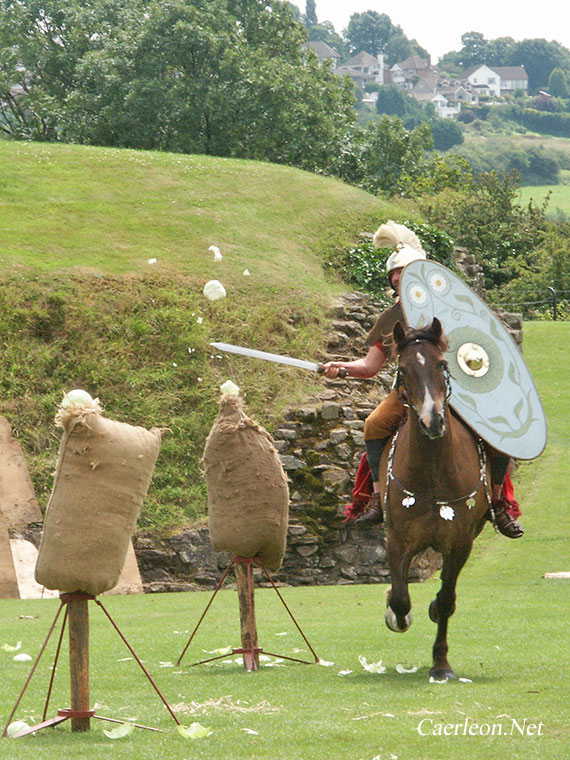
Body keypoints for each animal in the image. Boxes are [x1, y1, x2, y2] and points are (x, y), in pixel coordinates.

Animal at [378, 314, 488, 684]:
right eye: (403, 369)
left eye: (442, 364)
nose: (433, 421)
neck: (434, 471)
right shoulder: (398, 539)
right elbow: (400, 598)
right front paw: (396, 615)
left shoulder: (460, 543)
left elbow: (446, 599)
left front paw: (440, 664)